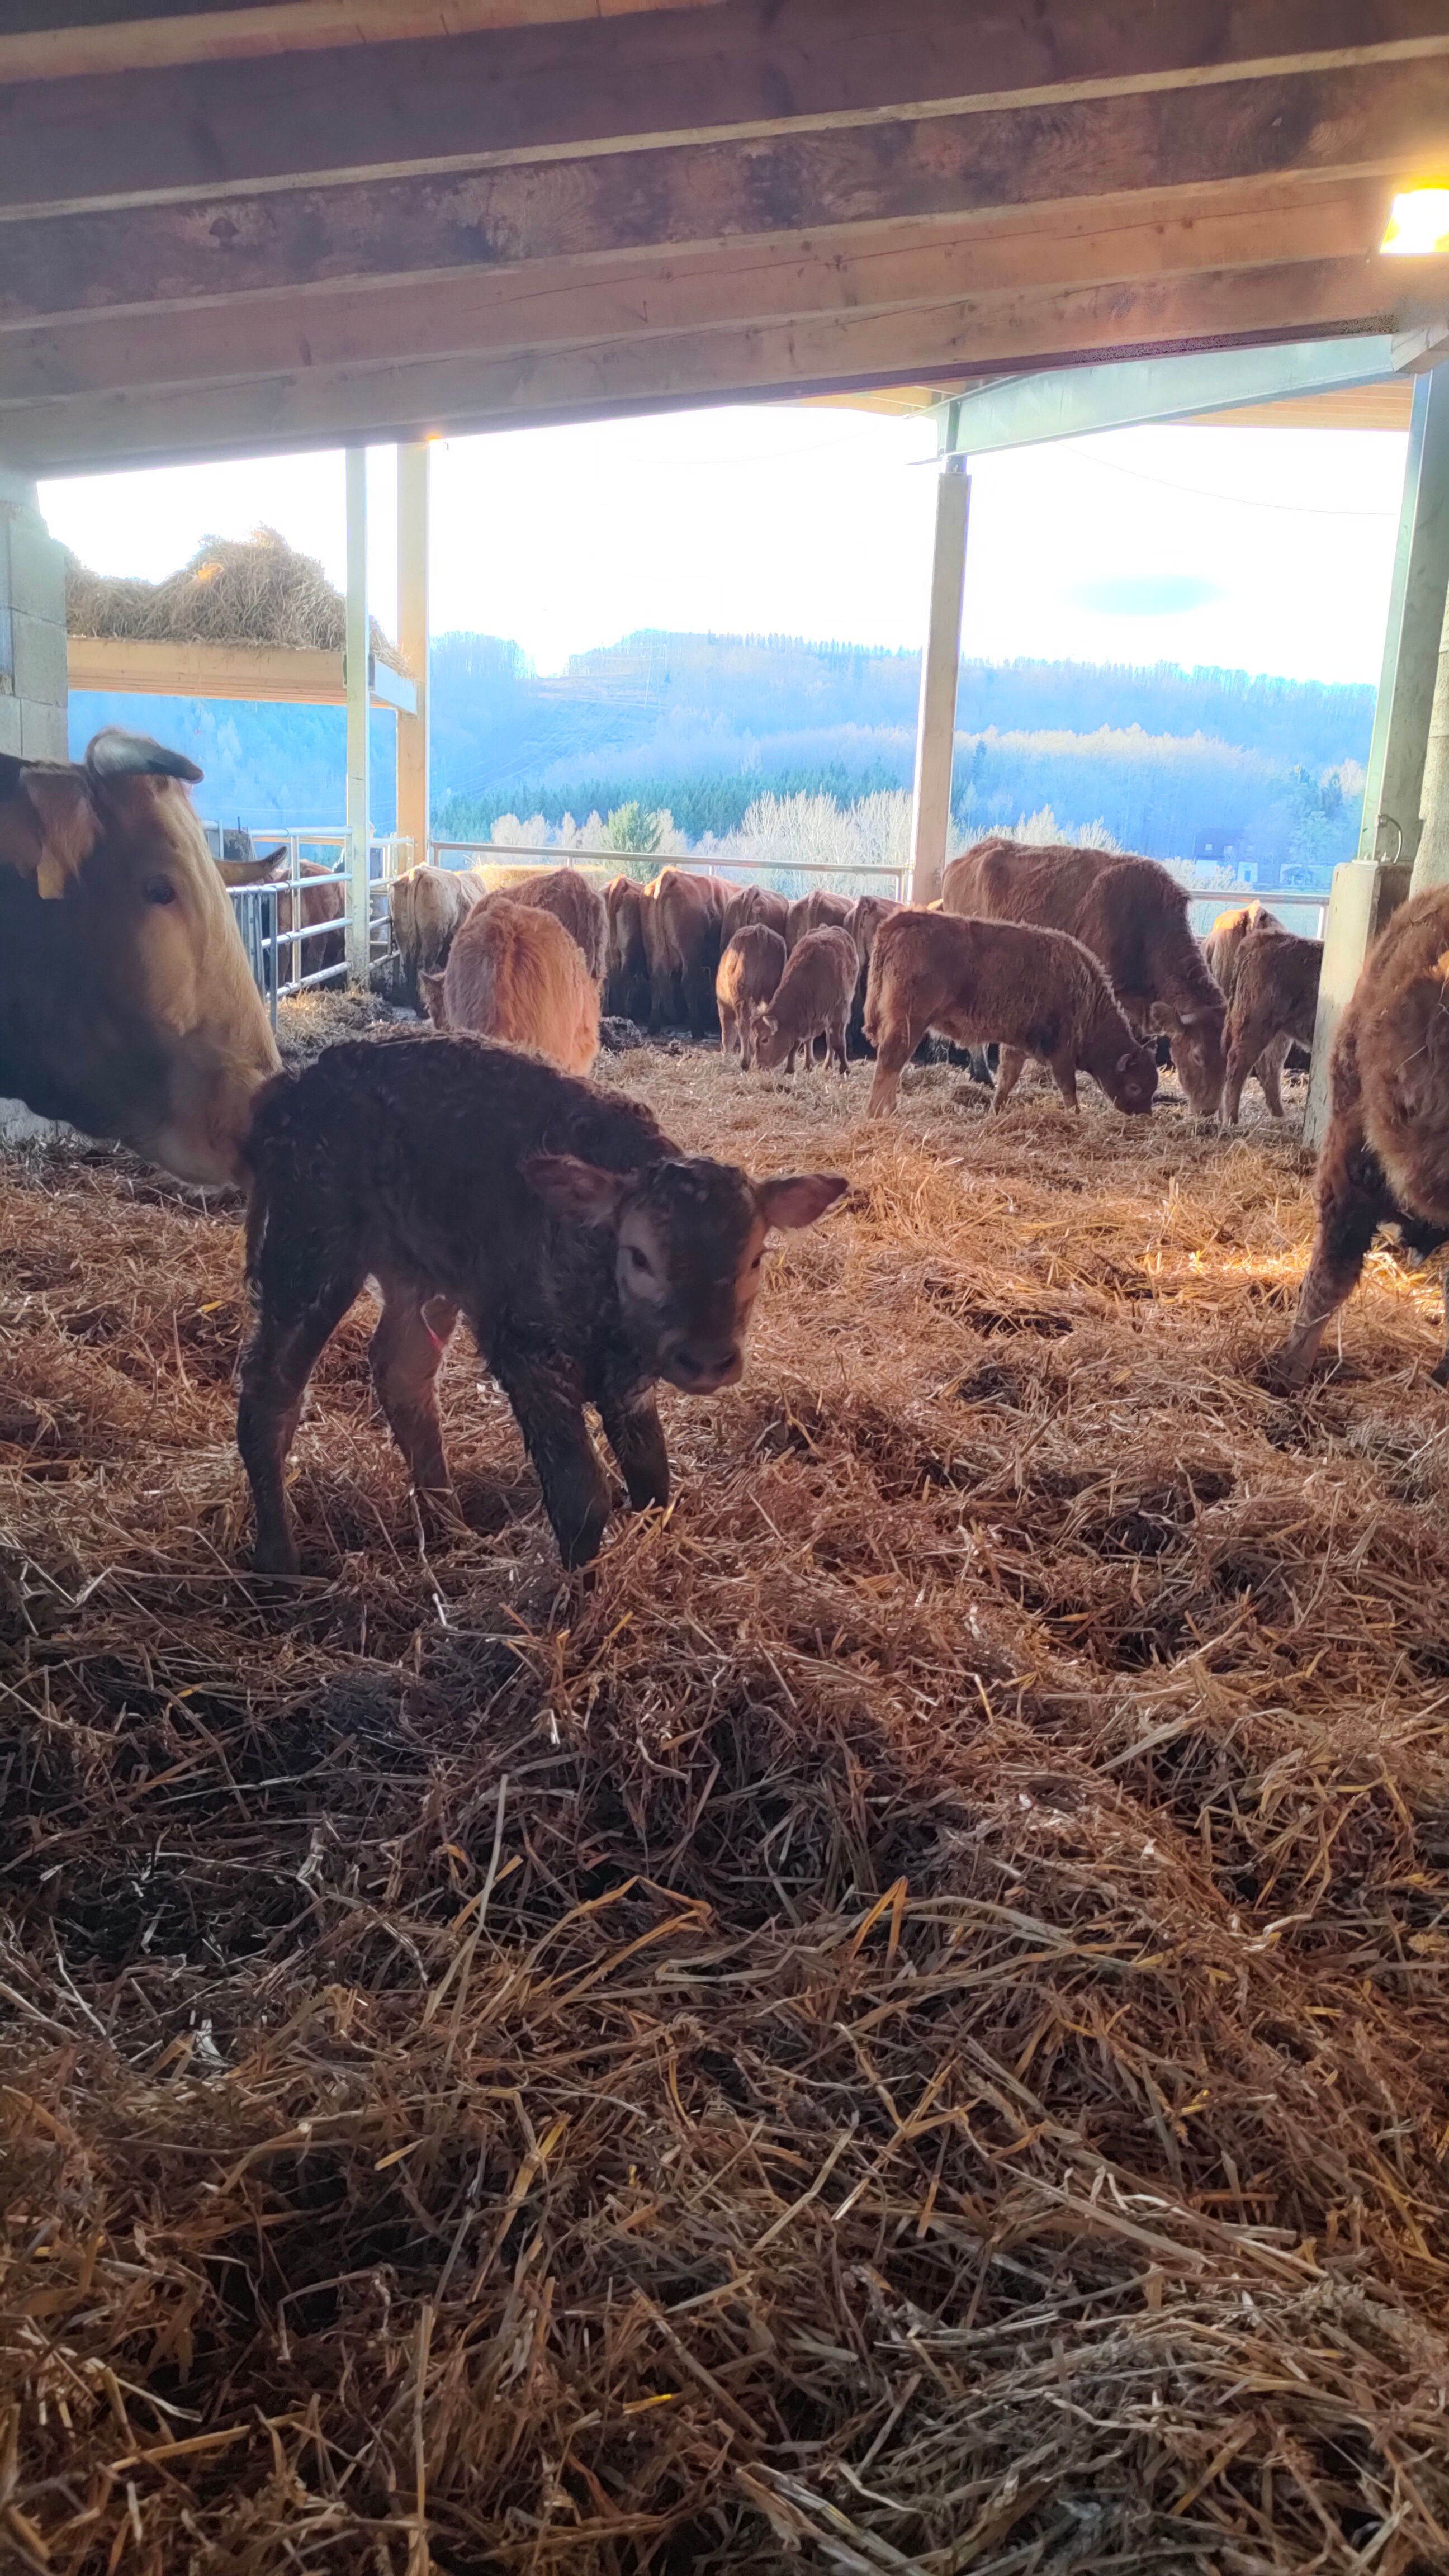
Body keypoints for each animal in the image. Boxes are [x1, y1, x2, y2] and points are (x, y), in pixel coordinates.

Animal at [237, 1034, 846, 1571]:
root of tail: (292, 1086)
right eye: (639, 1257)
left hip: (422, 1271)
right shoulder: (527, 1353)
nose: (708, 1358)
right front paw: (578, 1601)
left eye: (755, 1258)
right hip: (311, 1241)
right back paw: (279, 1561)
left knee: (402, 1372)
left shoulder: (631, 1385)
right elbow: (582, 1498)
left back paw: (449, 1526)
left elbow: (654, 1481)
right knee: (270, 1391)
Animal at [716, 924, 786, 1070]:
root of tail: (761, 929)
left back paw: (744, 1063)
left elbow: (728, 1034)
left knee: (743, 1026)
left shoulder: (724, 1006)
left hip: (742, 998)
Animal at [753, 926, 857, 1075]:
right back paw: (809, 1064)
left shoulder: (839, 1015)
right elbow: (796, 1046)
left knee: (830, 1041)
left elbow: (837, 1043)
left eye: (765, 1039)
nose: (759, 1065)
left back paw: (828, 1065)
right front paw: (790, 1069)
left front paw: (845, 1069)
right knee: (809, 1041)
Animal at [865, 910, 1157, 1120]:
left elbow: (1007, 1080)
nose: (1144, 1115)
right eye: (1135, 1087)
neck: (1087, 996)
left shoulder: (1017, 1047)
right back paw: (877, 1114)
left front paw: (995, 1111)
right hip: (910, 1023)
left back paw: (889, 1111)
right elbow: (1068, 1087)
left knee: (893, 1065)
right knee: (891, 1061)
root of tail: (904, 921)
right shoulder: (1062, 1053)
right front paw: (1075, 1115)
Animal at [1221, 929, 1323, 1126]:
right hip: (1255, 1023)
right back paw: (1232, 1120)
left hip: (1279, 1032)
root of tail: (1265, 936)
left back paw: (1279, 1116)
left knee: (1269, 1067)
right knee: (1239, 1065)